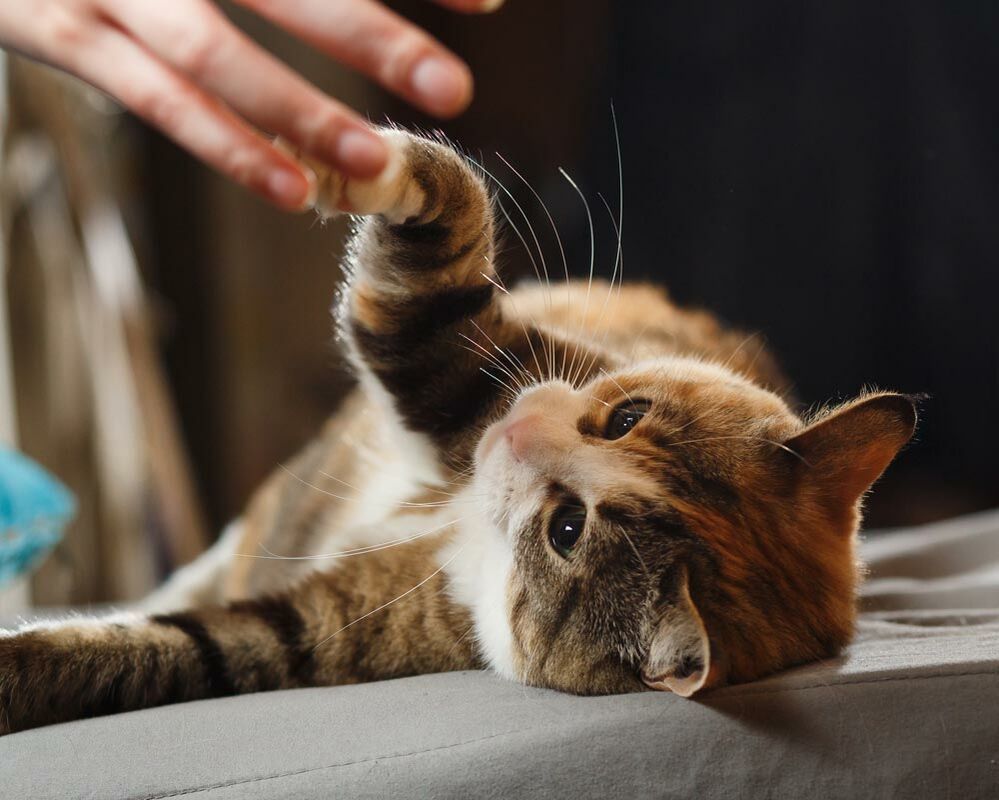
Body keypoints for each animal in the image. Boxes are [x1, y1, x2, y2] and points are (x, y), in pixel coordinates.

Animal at [0, 128, 916, 736]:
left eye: (566, 529)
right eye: (625, 416)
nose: (514, 431)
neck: (464, 515)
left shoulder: (330, 629)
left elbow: (178, 645)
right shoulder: (482, 369)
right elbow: (432, 268)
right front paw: (349, 158)